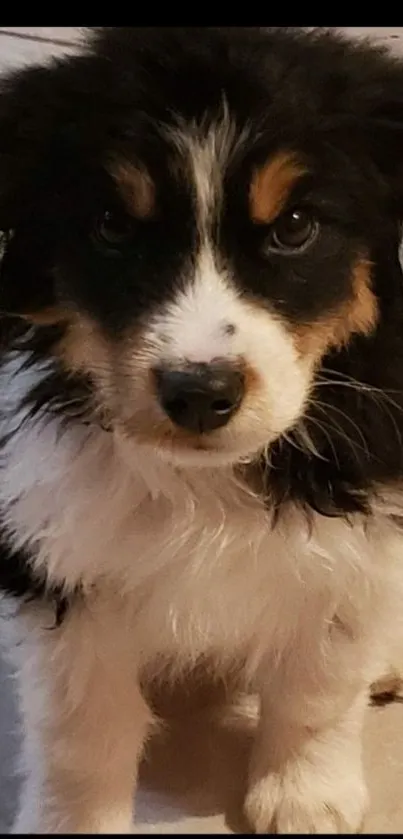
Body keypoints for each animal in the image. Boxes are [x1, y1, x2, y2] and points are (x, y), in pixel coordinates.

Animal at [0, 24, 403, 832]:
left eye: (295, 226)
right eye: (113, 226)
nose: (199, 393)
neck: (203, 480)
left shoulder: (358, 537)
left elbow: (319, 681)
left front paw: (304, 795)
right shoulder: (58, 558)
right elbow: (79, 727)